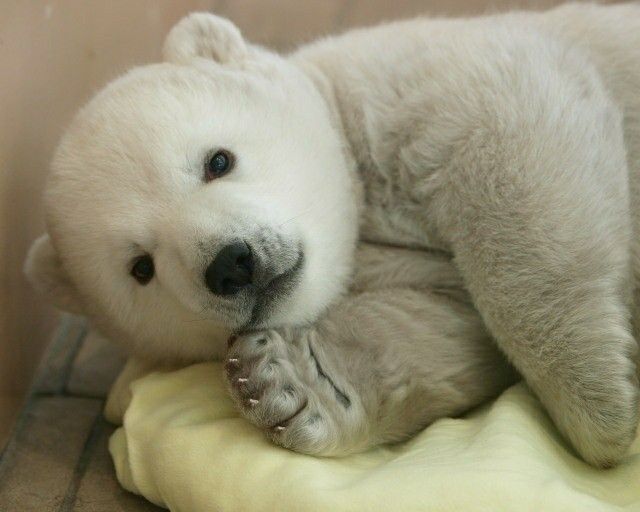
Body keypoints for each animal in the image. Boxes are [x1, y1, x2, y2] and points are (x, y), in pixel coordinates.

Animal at [25, 3, 640, 467]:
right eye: (141, 268)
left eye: (217, 161)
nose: (232, 264)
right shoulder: (394, 258)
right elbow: (440, 321)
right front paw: (287, 385)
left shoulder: (412, 82)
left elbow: (514, 147)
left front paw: (601, 409)